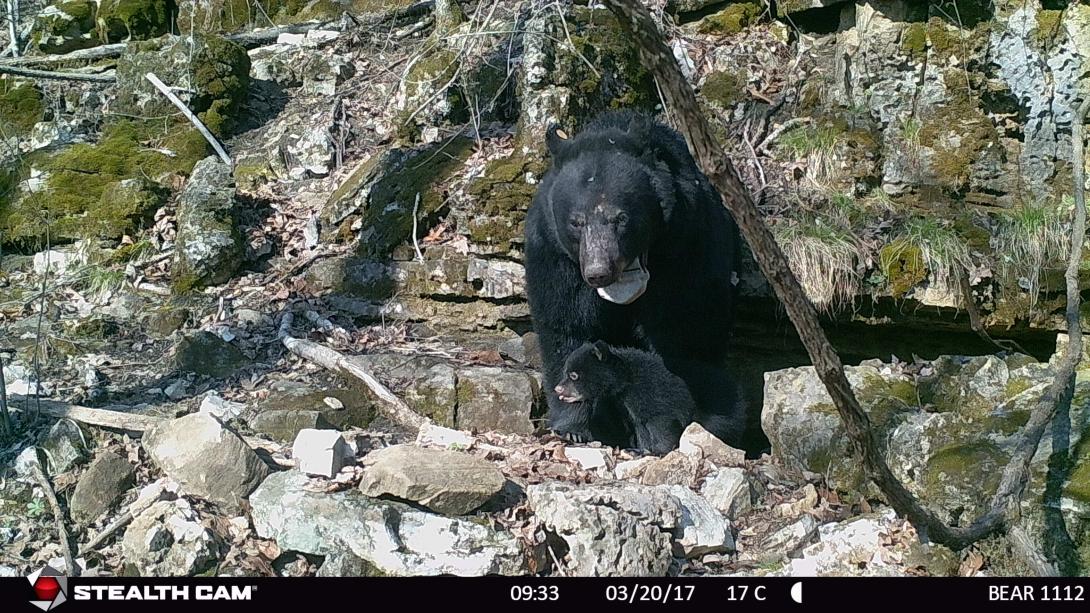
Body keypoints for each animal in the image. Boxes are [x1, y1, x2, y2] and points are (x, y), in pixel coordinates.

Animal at [521, 108, 741, 442]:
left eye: (621, 218)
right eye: (576, 222)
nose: (598, 272)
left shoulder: (687, 246)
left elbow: (685, 326)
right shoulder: (554, 256)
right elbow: (566, 323)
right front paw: (573, 427)